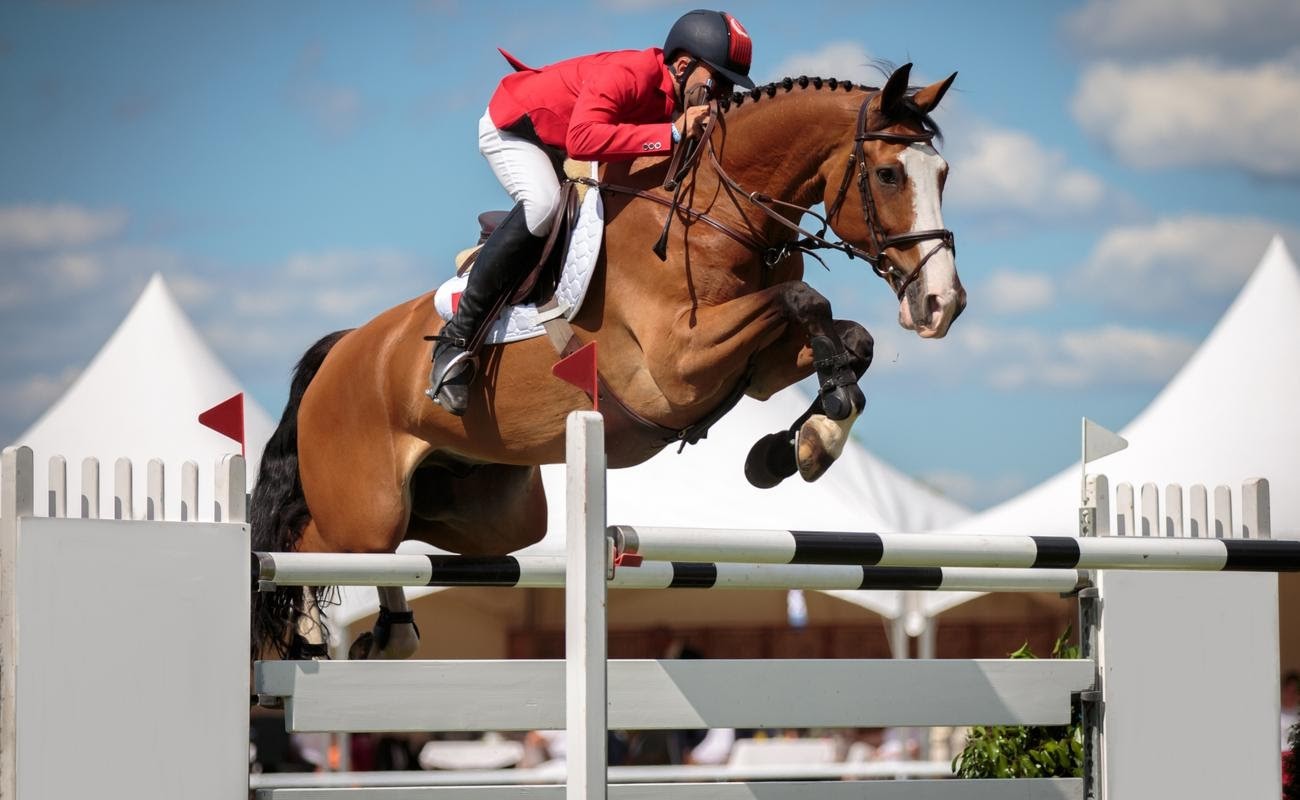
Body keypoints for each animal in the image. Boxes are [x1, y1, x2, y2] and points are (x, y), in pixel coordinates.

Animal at [250, 62, 967, 660]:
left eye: (943, 176)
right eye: (889, 174)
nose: (943, 304)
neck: (715, 215)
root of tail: (343, 349)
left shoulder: (758, 370)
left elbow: (850, 340)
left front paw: (800, 444)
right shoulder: (678, 368)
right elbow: (807, 298)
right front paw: (807, 438)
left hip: (487, 514)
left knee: (400, 544)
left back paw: (390, 633)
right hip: (363, 509)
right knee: (296, 546)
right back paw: (306, 631)